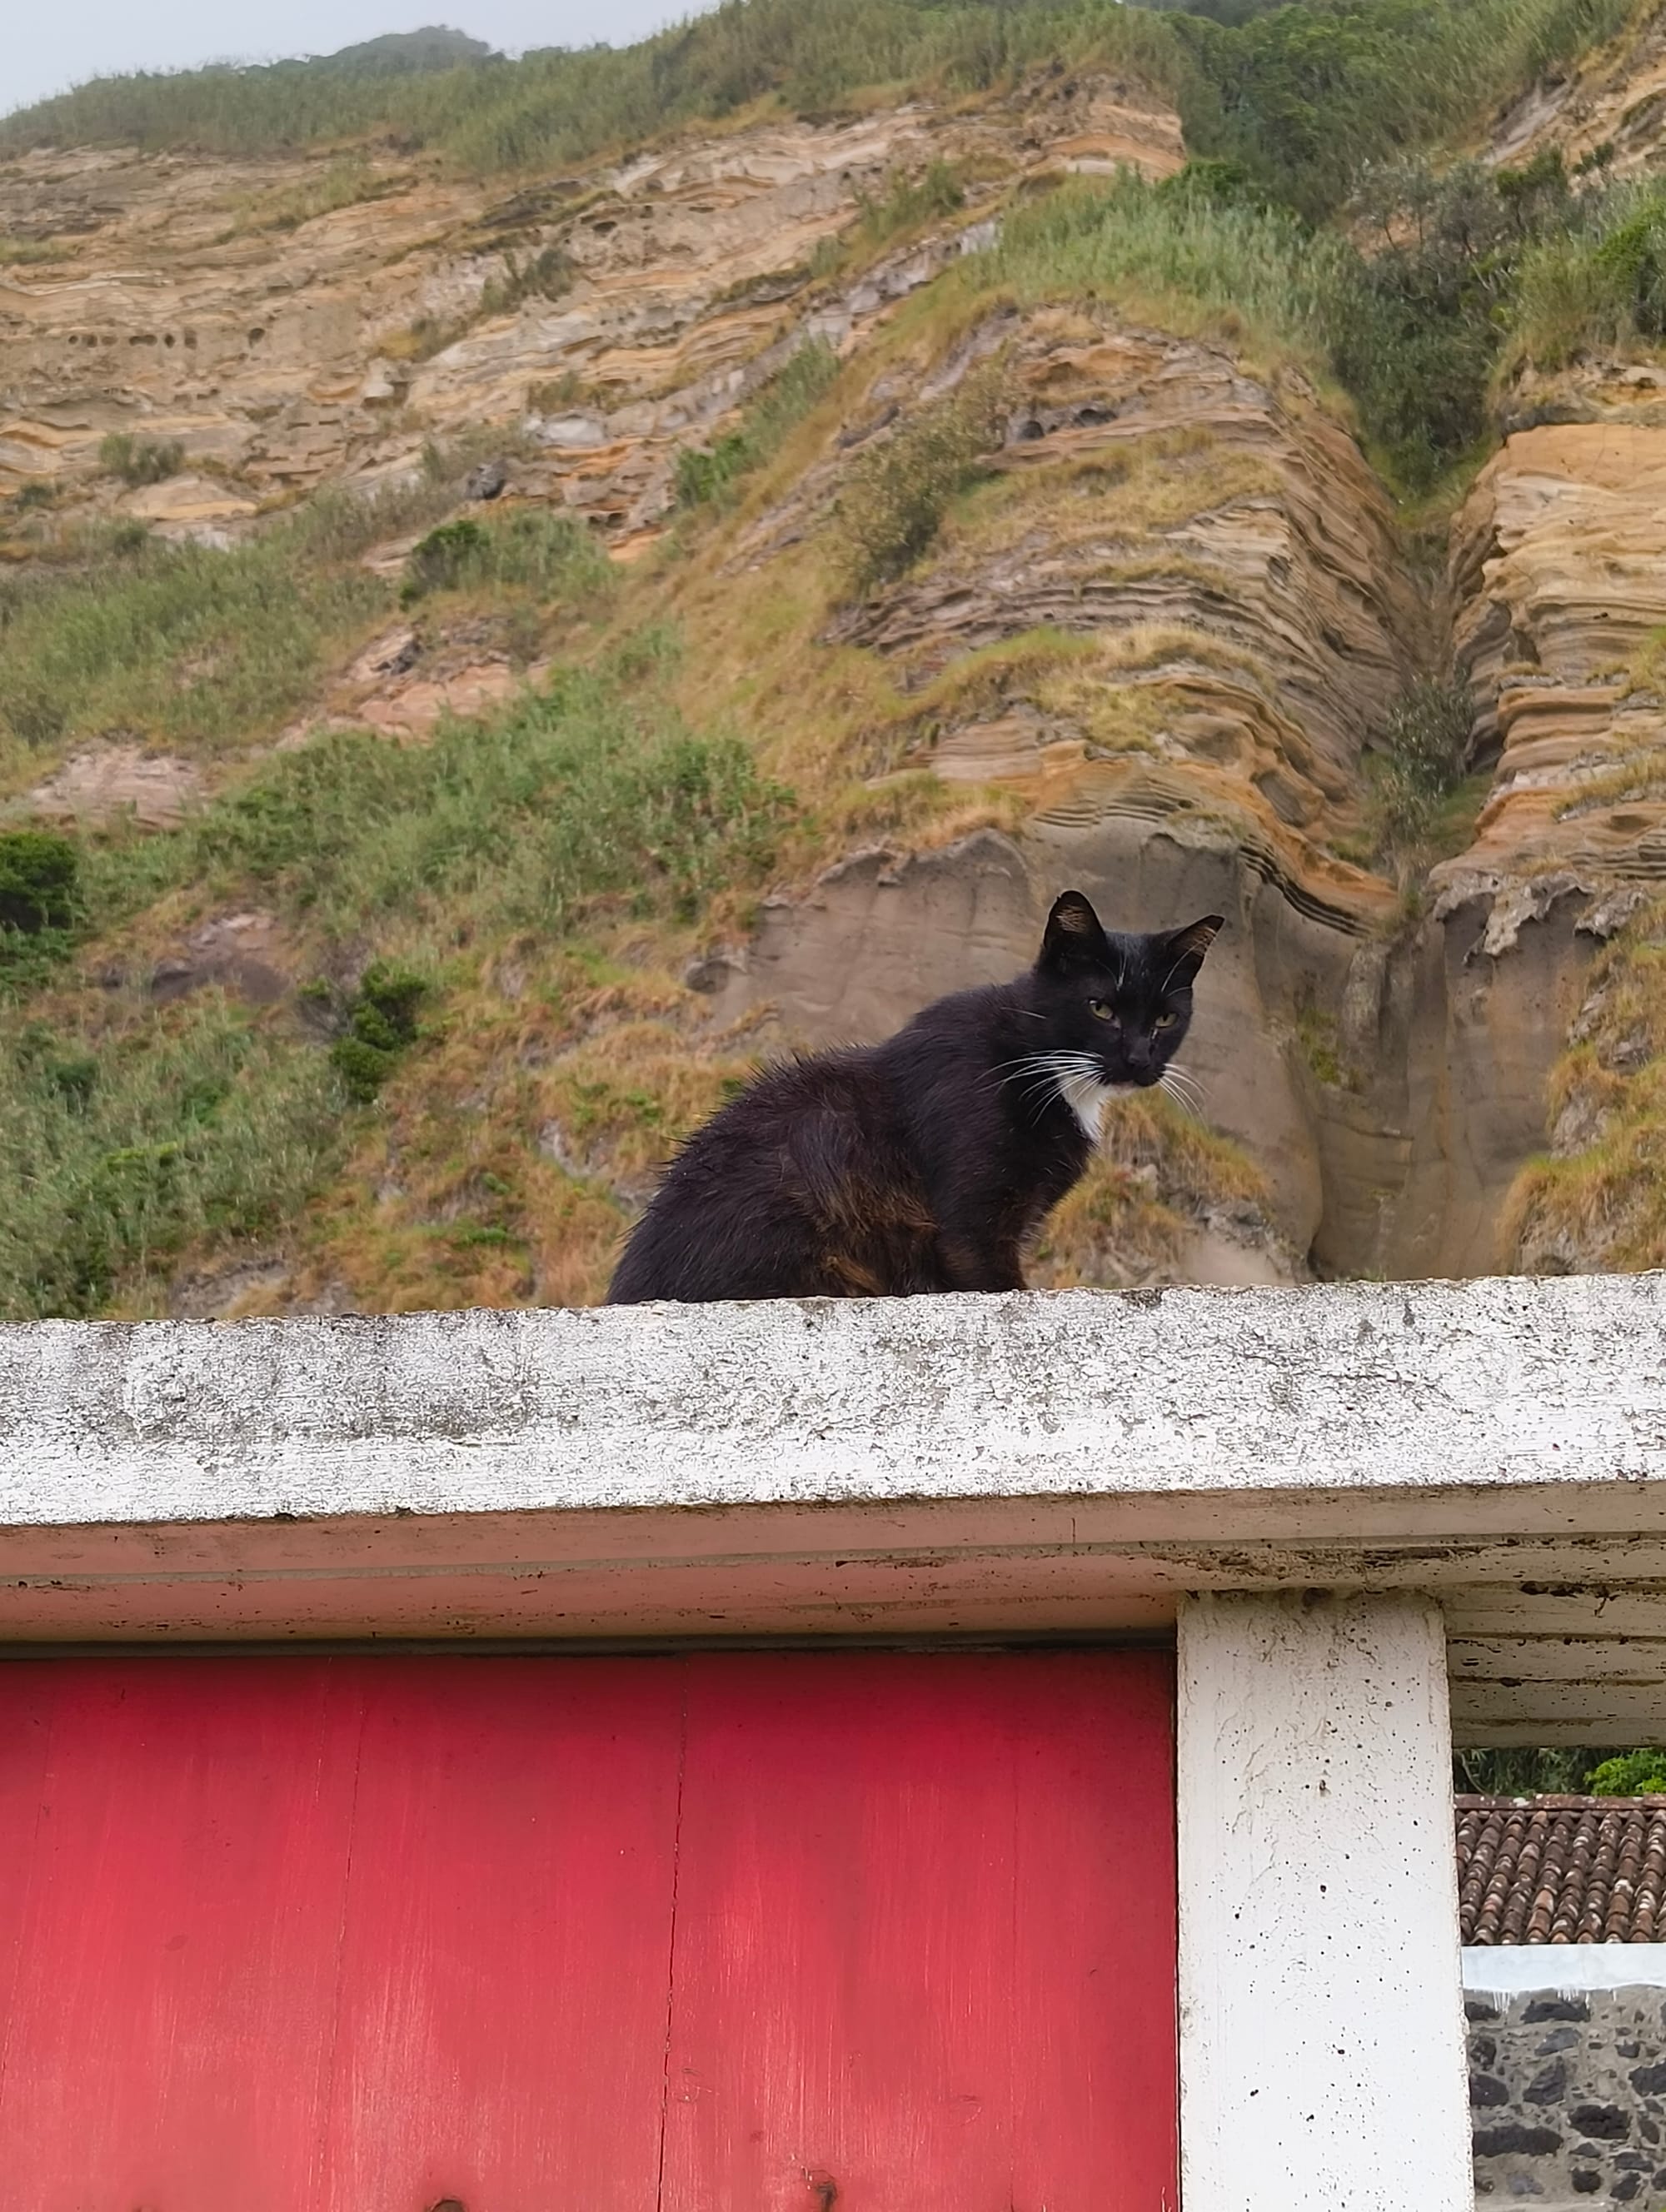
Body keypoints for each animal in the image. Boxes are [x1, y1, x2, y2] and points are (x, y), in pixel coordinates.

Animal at [606, 880, 1212, 1292]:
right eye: (1100, 1008)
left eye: (1165, 1019)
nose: (1138, 1059)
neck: (1043, 1067)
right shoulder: (972, 1227)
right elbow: (989, 1271)